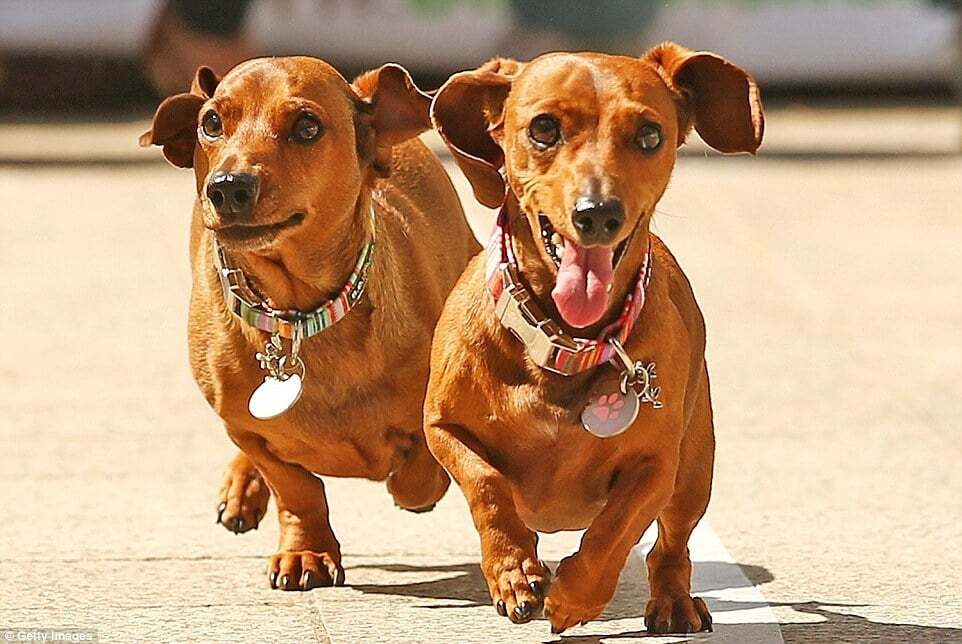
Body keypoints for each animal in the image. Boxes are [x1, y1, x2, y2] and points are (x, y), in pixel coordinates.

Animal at [139, 57, 476, 592]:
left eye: (306, 127)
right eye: (211, 122)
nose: (227, 187)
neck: (296, 315)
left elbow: (421, 463)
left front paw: (409, 479)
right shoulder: (245, 427)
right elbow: (295, 488)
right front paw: (307, 552)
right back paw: (242, 487)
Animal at [424, 44, 760, 632]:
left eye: (649, 135)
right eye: (543, 128)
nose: (599, 213)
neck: (564, 344)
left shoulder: (657, 465)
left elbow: (614, 531)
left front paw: (575, 596)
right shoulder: (441, 428)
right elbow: (487, 483)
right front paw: (514, 572)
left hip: (695, 472)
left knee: (671, 545)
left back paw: (673, 601)